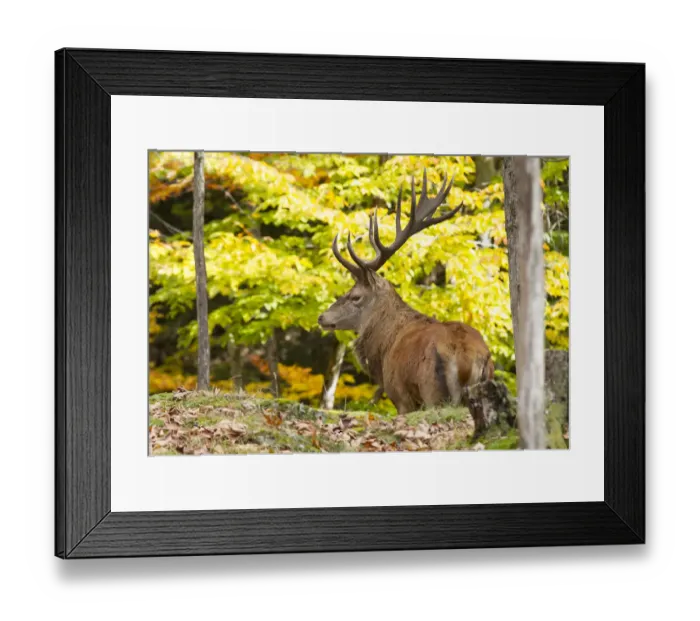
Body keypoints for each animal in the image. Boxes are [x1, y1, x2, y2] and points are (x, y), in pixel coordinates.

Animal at [318, 171, 495, 431]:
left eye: (355, 296)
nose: (322, 317)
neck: (383, 349)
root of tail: (467, 357)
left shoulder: (400, 396)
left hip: (433, 392)